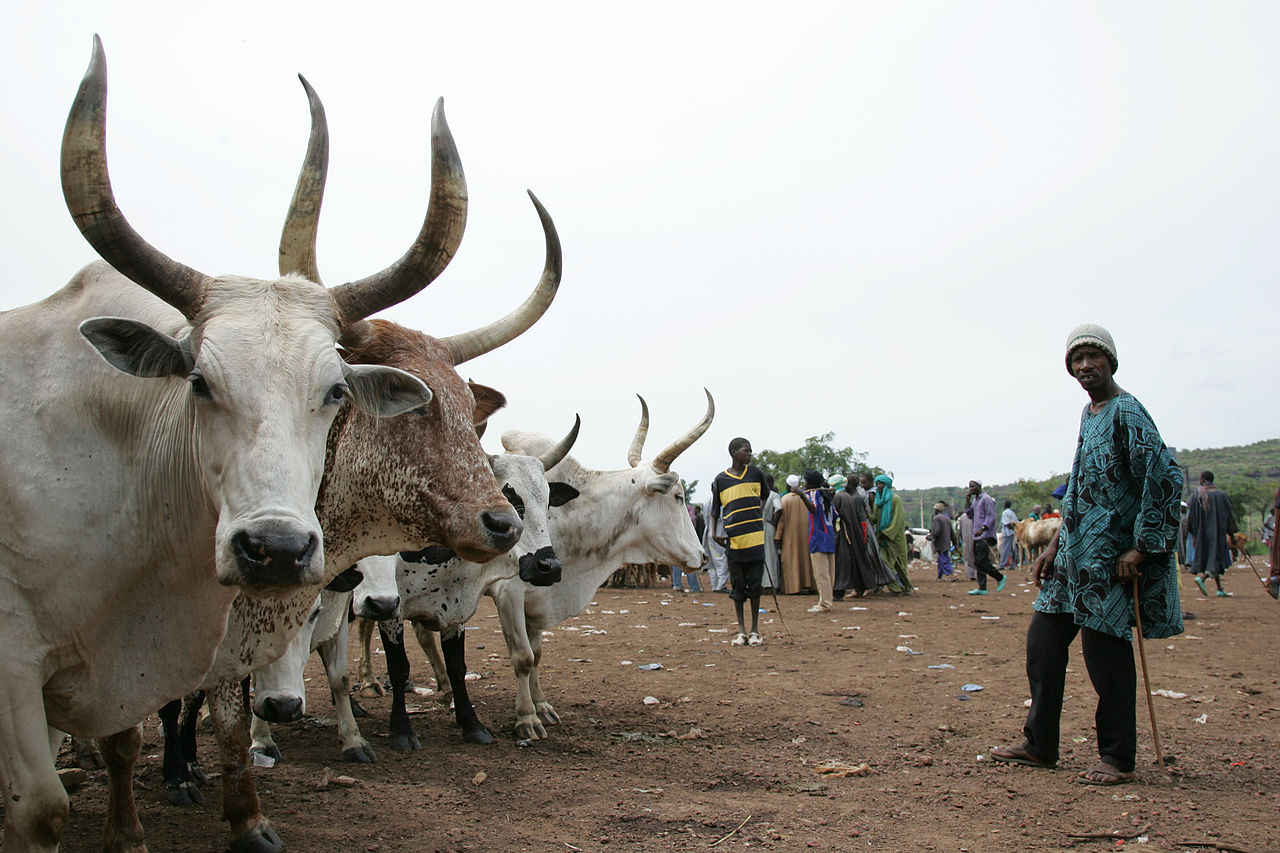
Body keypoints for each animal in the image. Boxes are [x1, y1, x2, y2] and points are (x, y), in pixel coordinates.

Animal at [486, 394, 711, 732]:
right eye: (678, 496)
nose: (704, 557)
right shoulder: (508, 594)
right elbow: (522, 657)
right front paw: (526, 716)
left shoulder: (539, 598)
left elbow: (536, 654)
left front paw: (542, 706)